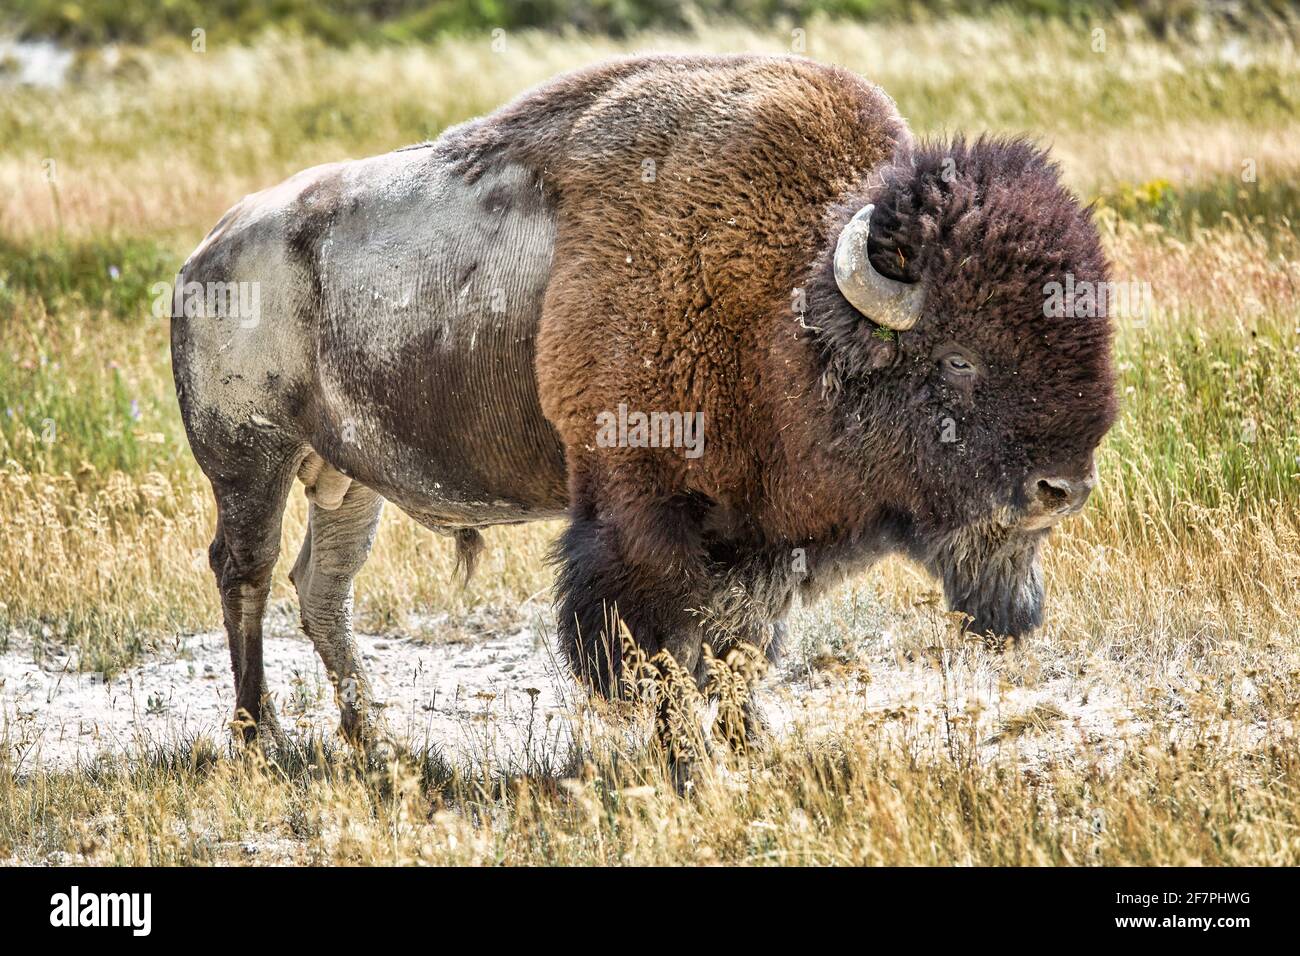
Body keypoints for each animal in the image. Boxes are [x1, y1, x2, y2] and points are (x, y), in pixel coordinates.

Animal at [170, 52, 1118, 754]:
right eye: (959, 358)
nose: (1061, 489)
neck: (788, 303)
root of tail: (206, 253)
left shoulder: (755, 538)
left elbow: (741, 648)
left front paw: (748, 745)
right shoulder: (644, 516)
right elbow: (664, 651)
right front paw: (685, 761)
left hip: (346, 481)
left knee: (322, 587)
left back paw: (375, 739)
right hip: (249, 457)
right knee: (247, 572)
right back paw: (262, 738)